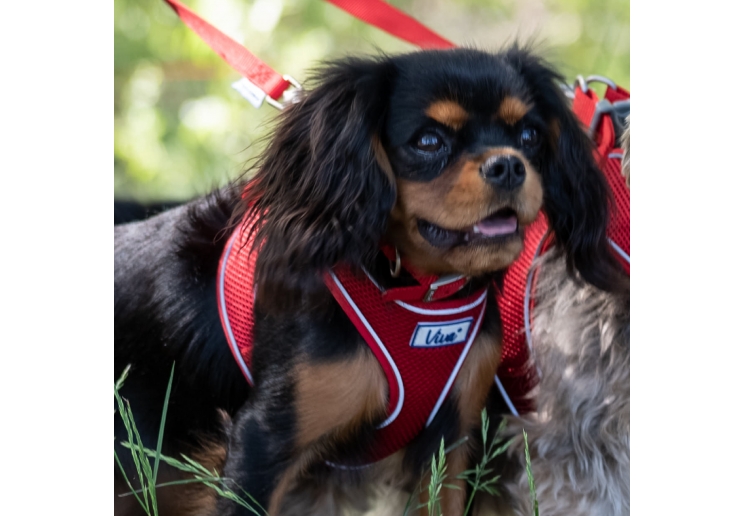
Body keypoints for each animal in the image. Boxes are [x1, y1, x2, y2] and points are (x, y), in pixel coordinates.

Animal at [113, 46, 620, 512]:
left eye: (531, 135)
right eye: (429, 141)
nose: (509, 165)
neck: (420, 294)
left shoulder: (449, 444)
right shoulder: (263, 442)